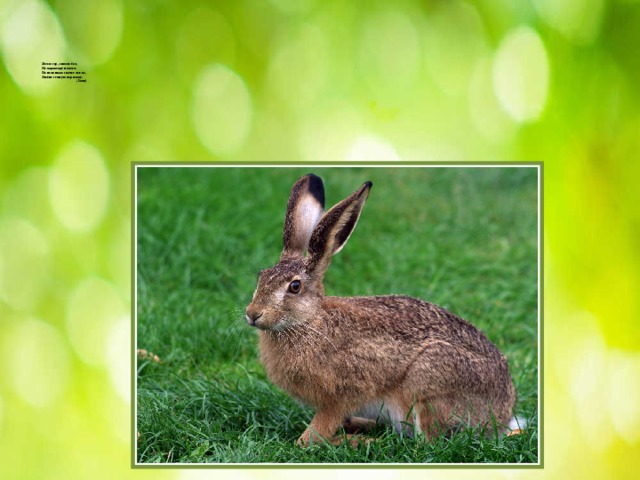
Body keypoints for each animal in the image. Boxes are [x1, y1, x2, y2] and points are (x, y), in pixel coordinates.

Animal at [245, 173, 517, 447]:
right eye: (261, 276)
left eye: (295, 286)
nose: (252, 314)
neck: (309, 321)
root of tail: (502, 415)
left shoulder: (344, 393)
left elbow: (314, 434)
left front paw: (315, 440)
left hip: (428, 383)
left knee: (425, 442)